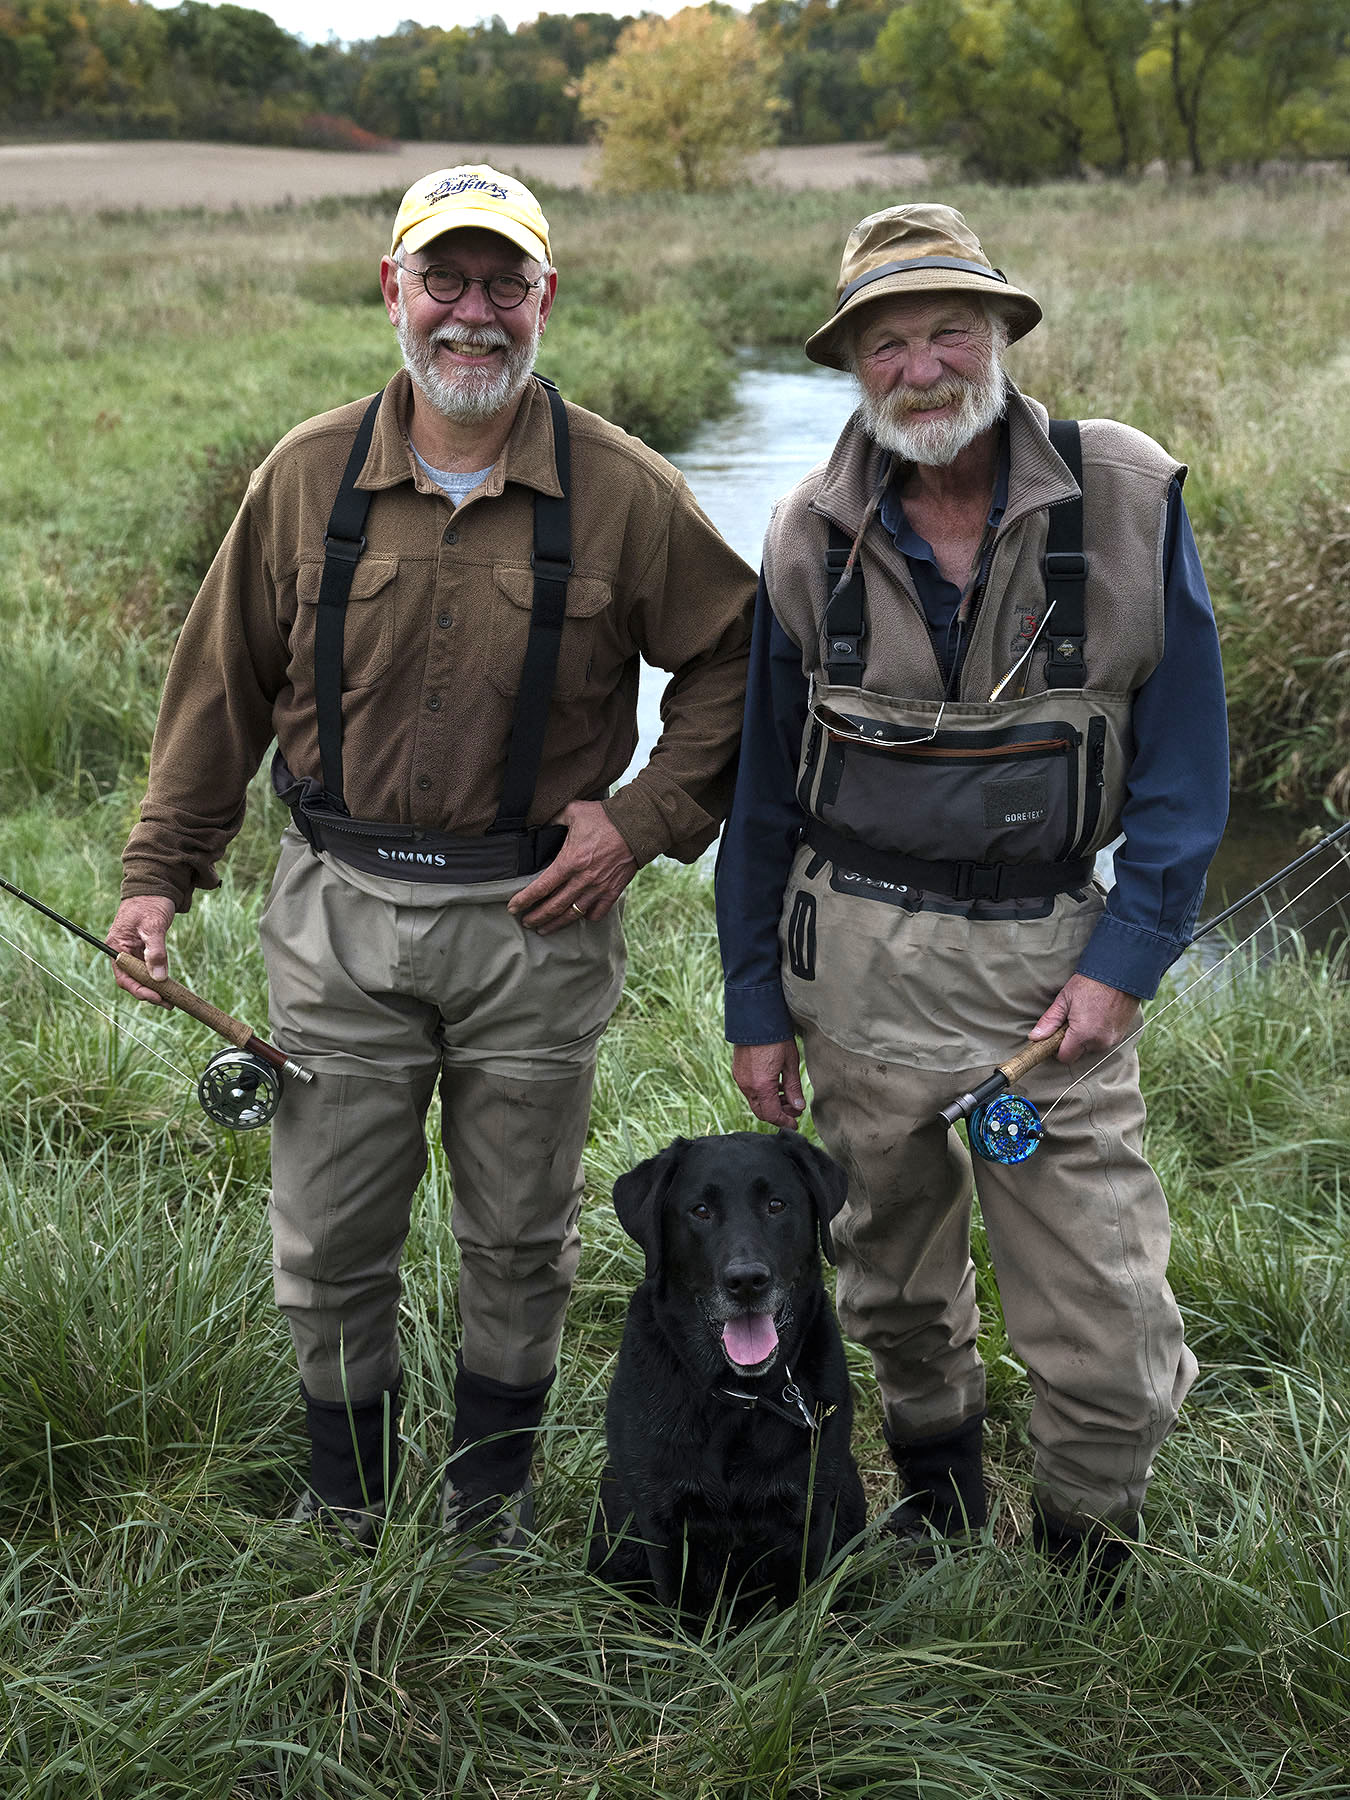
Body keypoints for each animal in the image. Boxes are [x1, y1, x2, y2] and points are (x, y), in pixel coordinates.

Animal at [590, 1123, 867, 1620]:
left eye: (776, 1205)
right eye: (700, 1211)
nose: (746, 1281)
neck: (738, 1397)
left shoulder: (809, 1517)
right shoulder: (662, 1523)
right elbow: (680, 1616)